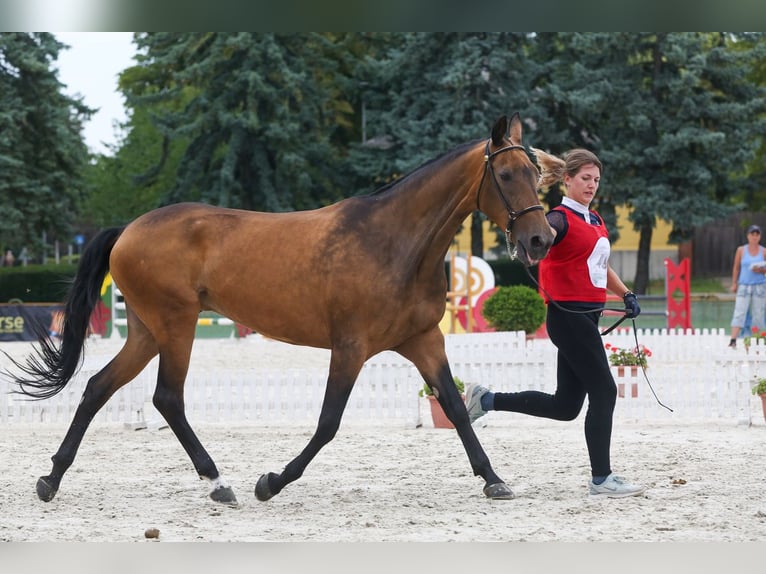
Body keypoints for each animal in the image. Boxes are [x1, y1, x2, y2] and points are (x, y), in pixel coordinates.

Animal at [9, 113, 556, 508]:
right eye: (505, 174)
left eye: (536, 174)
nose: (541, 239)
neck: (393, 241)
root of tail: (128, 229)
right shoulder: (350, 347)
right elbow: (329, 422)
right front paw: (271, 482)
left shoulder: (424, 341)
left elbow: (456, 409)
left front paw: (493, 479)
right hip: (176, 326)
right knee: (167, 398)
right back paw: (219, 483)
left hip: (146, 332)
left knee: (98, 387)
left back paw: (51, 479)